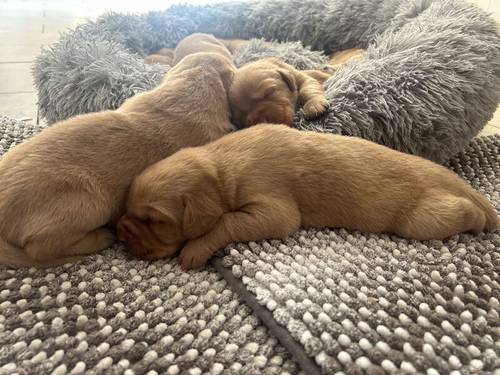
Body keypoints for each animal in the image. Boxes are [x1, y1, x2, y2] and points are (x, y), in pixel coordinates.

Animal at [118, 125, 500, 270]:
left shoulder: (274, 209)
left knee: (463, 214)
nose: (120, 233)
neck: (219, 166)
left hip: (425, 219)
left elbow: (226, 221)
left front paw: (195, 249)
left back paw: (481, 217)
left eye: (154, 220)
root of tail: (460, 184)